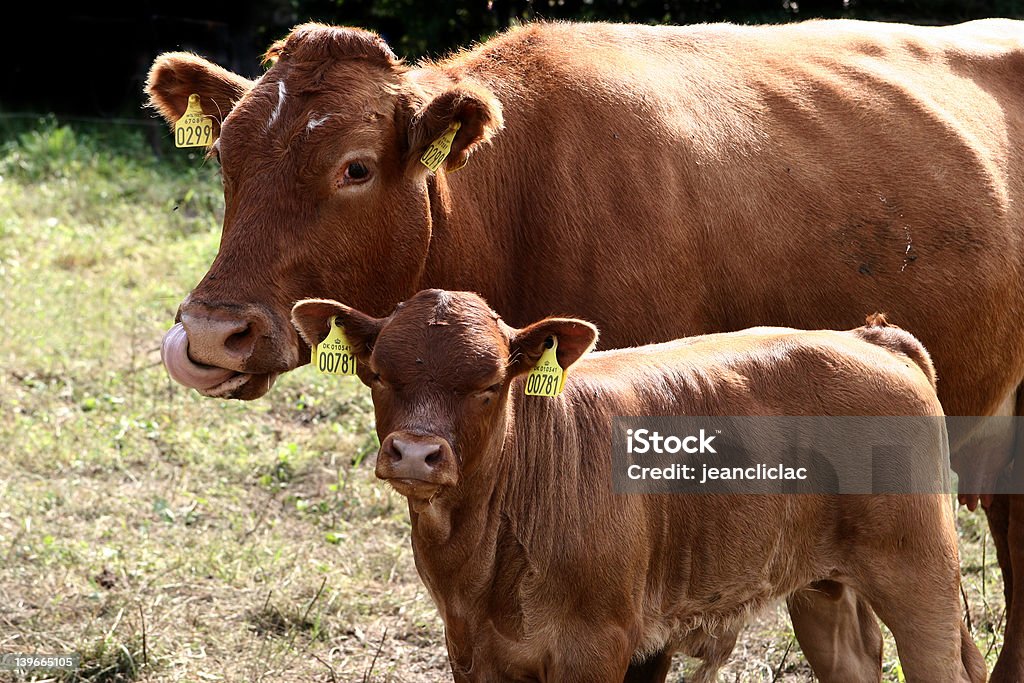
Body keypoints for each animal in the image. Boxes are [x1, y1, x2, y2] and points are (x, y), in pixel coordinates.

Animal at [292, 290, 987, 683]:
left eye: (489, 384)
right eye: (379, 375)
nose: (415, 453)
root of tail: (871, 337)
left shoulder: (594, 647)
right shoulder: (471, 650)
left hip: (919, 573)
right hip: (822, 584)